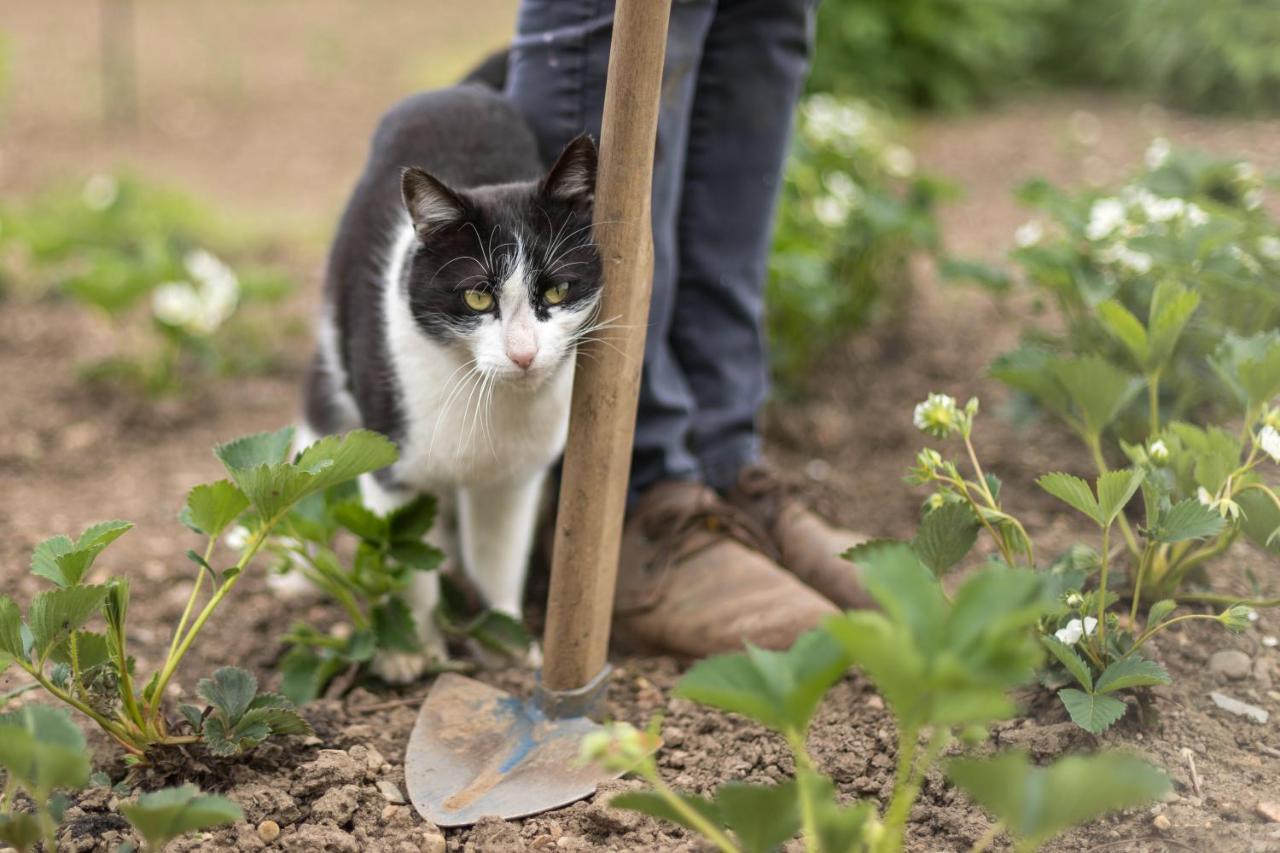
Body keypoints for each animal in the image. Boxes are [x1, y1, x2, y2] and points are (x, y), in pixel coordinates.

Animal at [300, 86, 604, 681]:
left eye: (557, 290)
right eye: (478, 296)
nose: (523, 353)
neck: (485, 396)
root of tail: (455, 90)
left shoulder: (514, 480)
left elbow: (498, 562)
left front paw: (505, 643)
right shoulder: (389, 466)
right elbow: (404, 565)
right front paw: (410, 651)